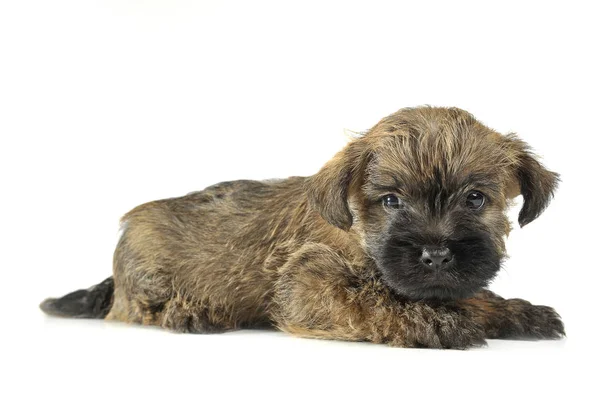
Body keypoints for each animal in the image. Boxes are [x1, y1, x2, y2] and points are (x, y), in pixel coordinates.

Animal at [39, 106, 564, 350]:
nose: (436, 254)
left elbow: (471, 295)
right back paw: (190, 313)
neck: (358, 236)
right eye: (391, 201)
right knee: (134, 310)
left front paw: (515, 312)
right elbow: (372, 303)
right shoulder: (308, 284)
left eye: (475, 199)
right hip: (146, 276)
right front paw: (436, 323)